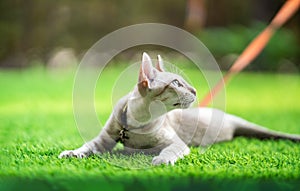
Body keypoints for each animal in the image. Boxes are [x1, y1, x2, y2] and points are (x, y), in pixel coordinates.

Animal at [58, 52, 300, 166]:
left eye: (183, 82)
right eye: (176, 83)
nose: (195, 90)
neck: (136, 124)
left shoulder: (176, 143)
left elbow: (168, 151)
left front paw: (161, 160)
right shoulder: (104, 140)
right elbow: (88, 146)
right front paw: (73, 152)